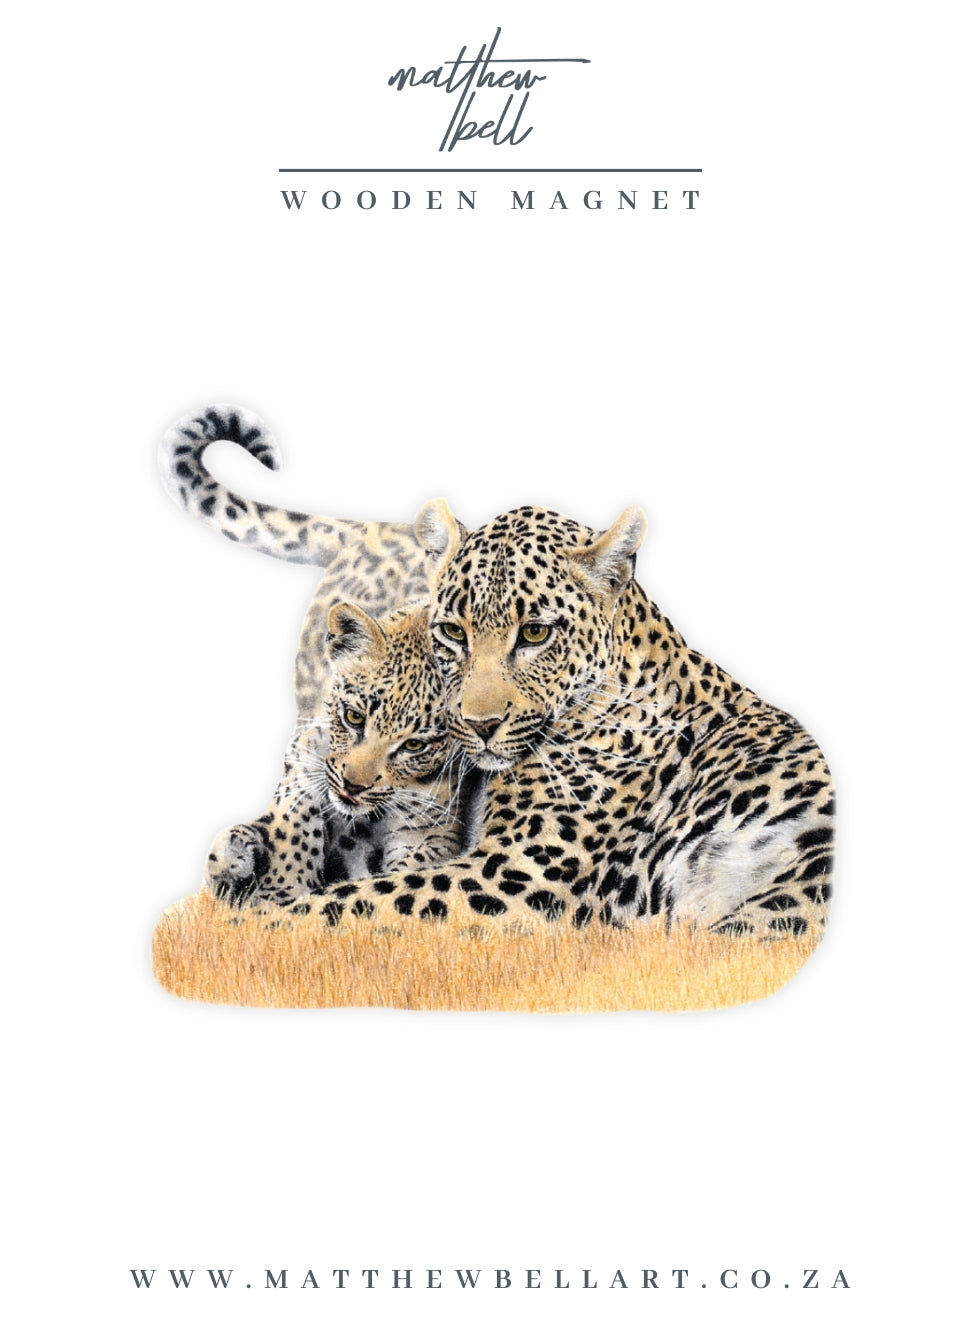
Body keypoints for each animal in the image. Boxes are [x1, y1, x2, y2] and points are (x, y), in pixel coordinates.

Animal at [206, 600, 479, 910]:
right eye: (353, 717)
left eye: (414, 745)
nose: (353, 787)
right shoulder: (305, 748)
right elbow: (294, 813)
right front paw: (283, 886)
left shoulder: (431, 829)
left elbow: (404, 875)